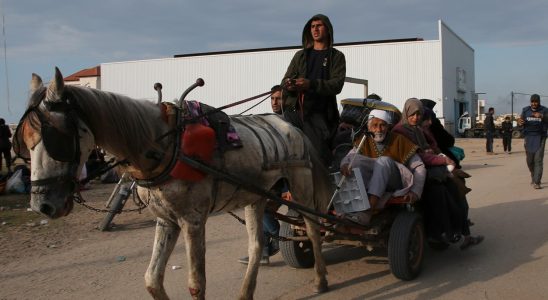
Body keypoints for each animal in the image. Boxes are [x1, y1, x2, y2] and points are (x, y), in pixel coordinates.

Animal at [16, 68, 334, 300]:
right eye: (26, 142)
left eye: (56, 136)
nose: (42, 205)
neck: (166, 145)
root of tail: (291, 126)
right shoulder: (166, 220)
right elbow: (152, 280)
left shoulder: (192, 220)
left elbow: (196, 283)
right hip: (255, 197)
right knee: (256, 245)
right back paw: (246, 293)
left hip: (301, 188)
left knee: (312, 229)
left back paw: (320, 279)